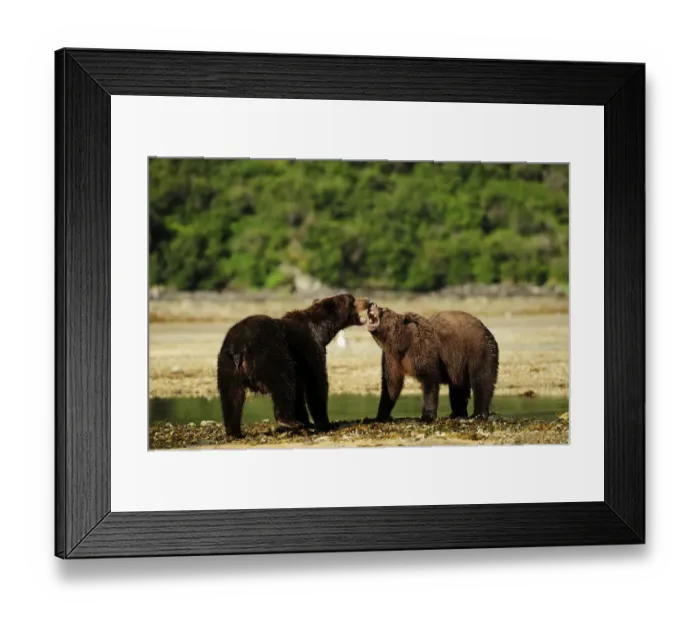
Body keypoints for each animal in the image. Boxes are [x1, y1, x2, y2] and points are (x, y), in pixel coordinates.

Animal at [217, 294, 371, 438]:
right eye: (352, 299)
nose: (368, 302)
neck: (322, 330)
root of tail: (239, 346)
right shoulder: (311, 350)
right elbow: (316, 384)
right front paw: (325, 423)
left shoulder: (300, 363)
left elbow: (299, 390)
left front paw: (306, 420)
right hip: (270, 353)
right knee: (283, 382)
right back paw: (289, 421)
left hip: (226, 365)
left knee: (232, 397)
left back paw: (234, 431)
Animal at [365, 303, 499, 422]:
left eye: (383, 309)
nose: (372, 305)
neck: (401, 344)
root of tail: (485, 328)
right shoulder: (391, 358)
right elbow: (391, 384)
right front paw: (379, 415)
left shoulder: (422, 349)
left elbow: (429, 380)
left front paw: (427, 416)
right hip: (459, 363)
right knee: (458, 387)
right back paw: (456, 414)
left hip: (479, 350)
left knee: (482, 379)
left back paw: (478, 414)